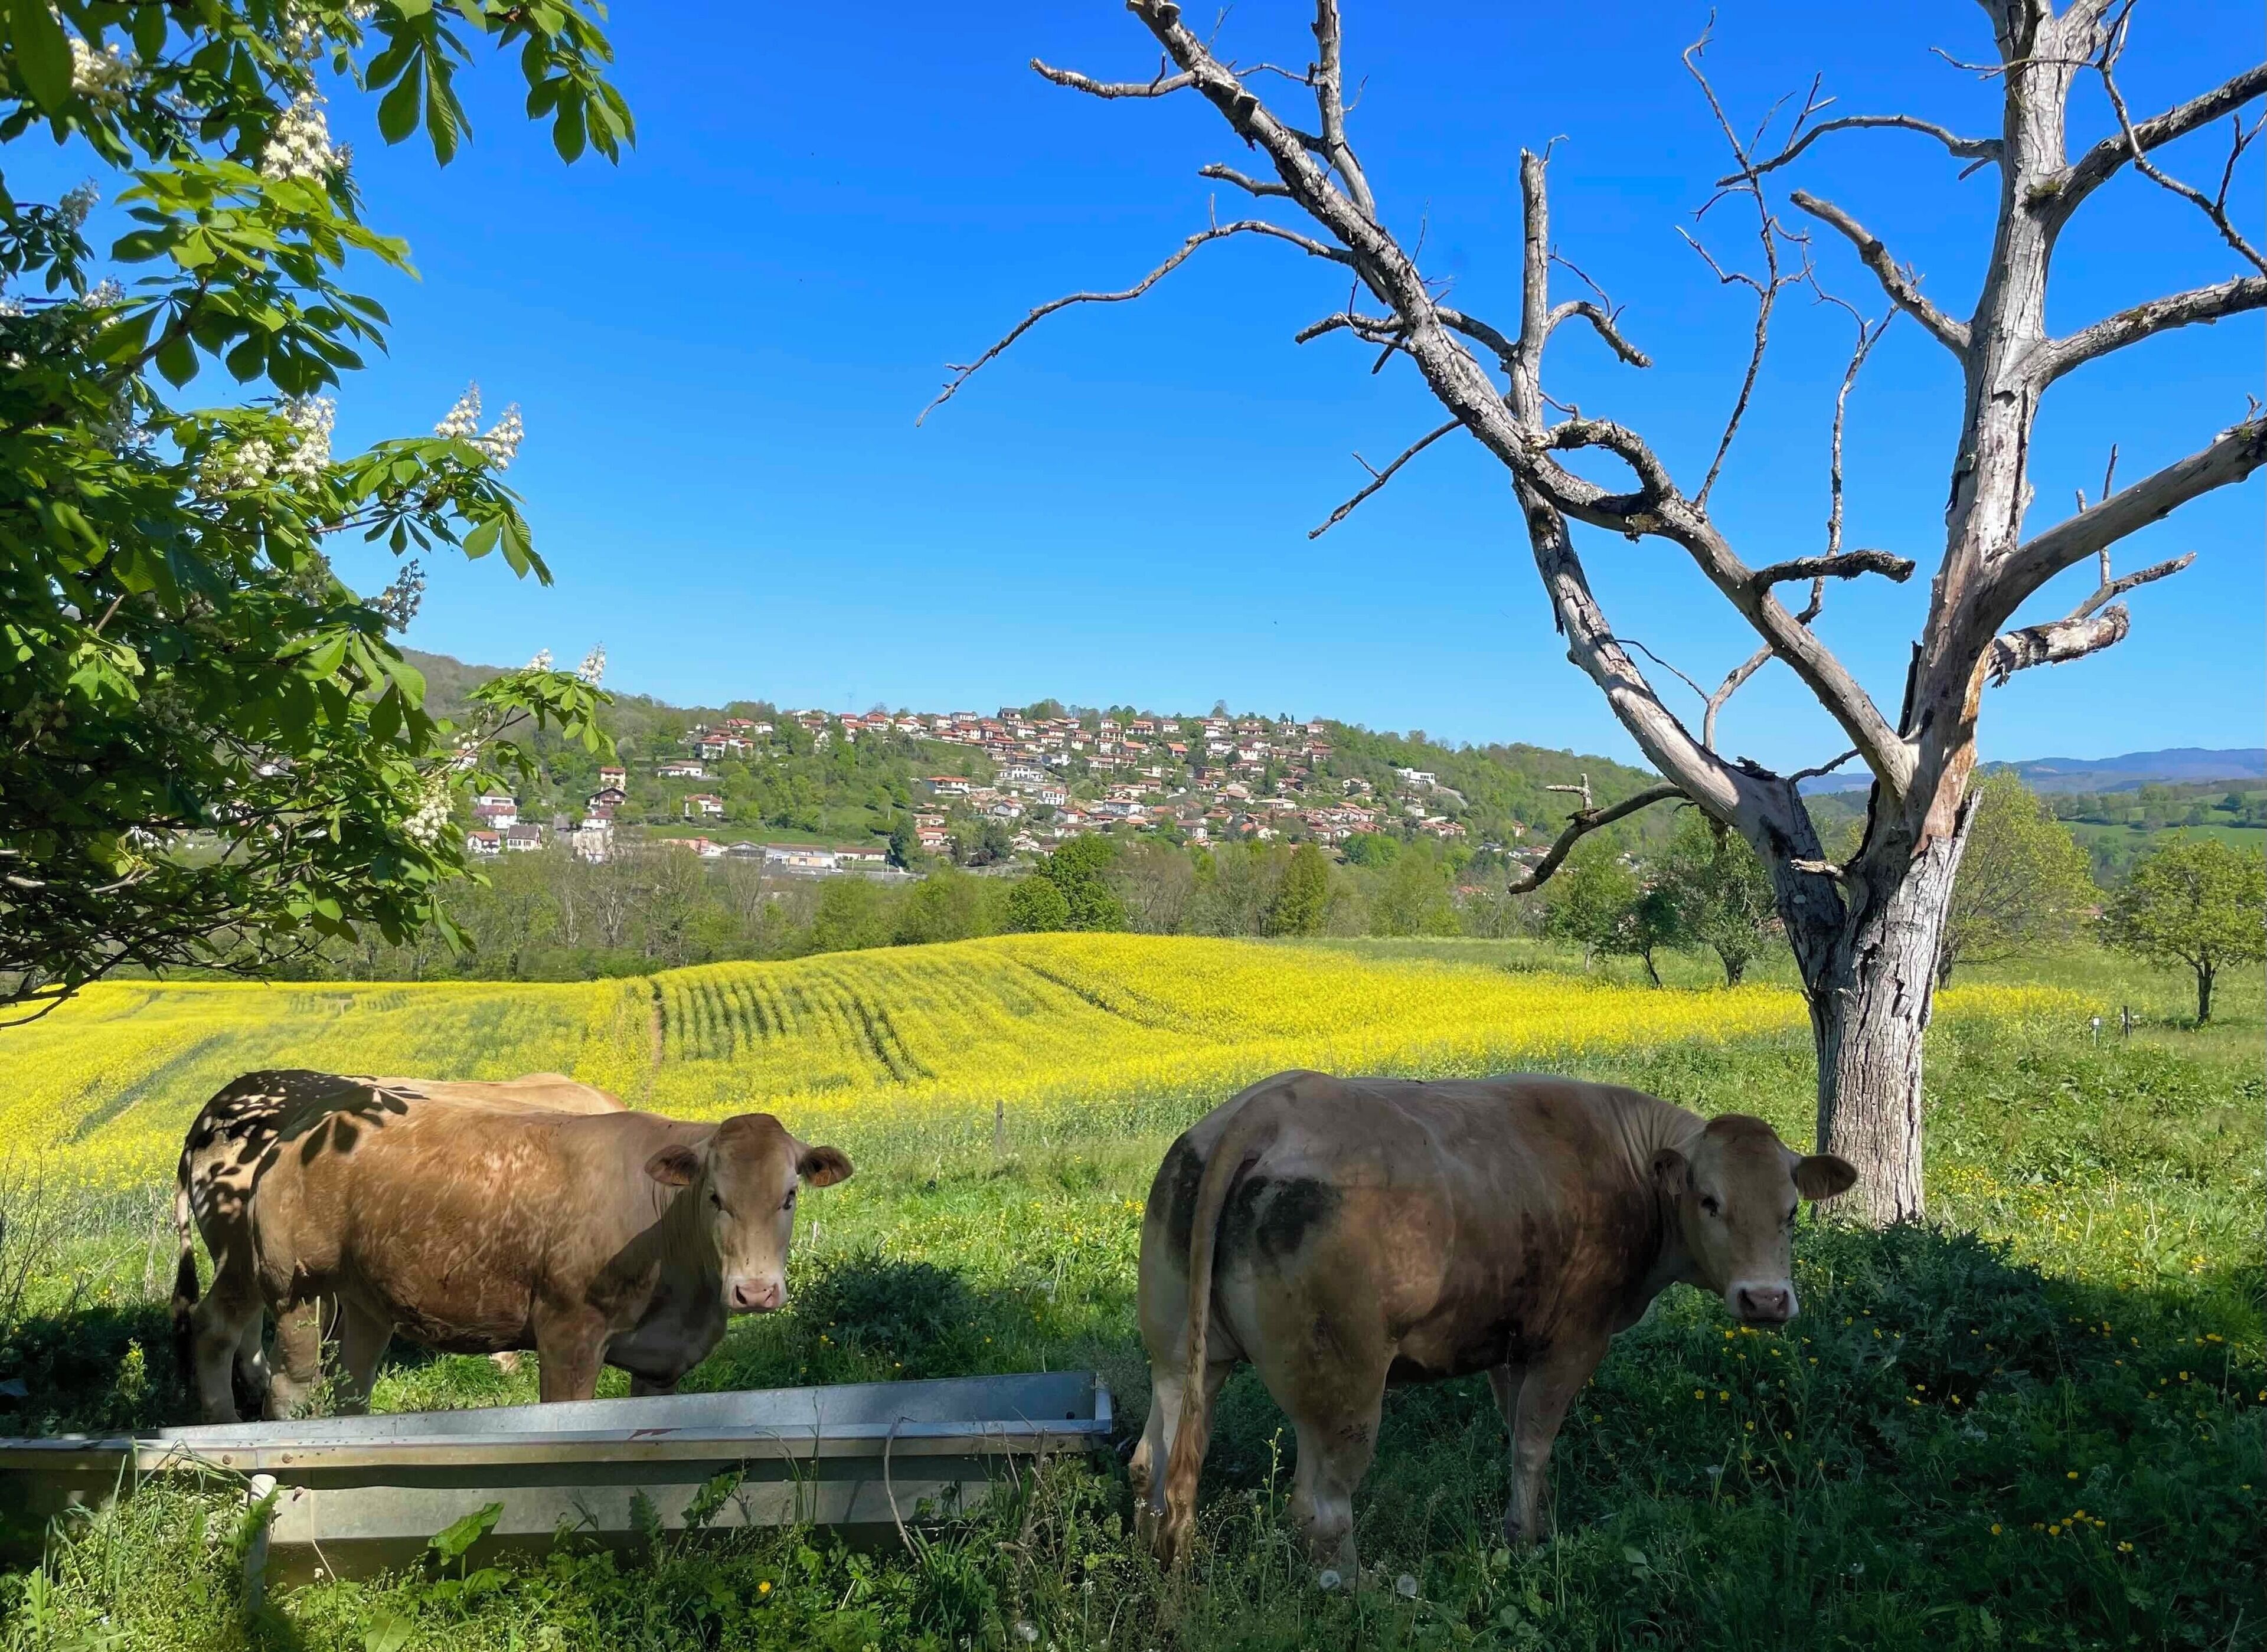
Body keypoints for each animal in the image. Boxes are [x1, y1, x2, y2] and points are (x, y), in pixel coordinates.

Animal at [171, 1069, 849, 1423]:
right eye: (715, 1196)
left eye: (790, 1195)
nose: (756, 1291)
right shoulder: (568, 1333)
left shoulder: (661, 1362)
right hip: (289, 1282)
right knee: (272, 1370)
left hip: (362, 1301)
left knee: (349, 1385)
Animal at [1128, 1070, 1855, 1575]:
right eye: (1709, 1200)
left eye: (1792, 1210)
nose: (1766, 1300)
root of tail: (1267, 1105)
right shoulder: (1574, 1340)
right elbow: (1533, 1442)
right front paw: (1526, 1540)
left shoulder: (1512, 1342)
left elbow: (1517, 1437)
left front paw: (1535, 1521)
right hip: (1344, 1385)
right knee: (1321, 1508)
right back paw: (1362, 1593)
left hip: (1178, 1351)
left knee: (1151, 1465)